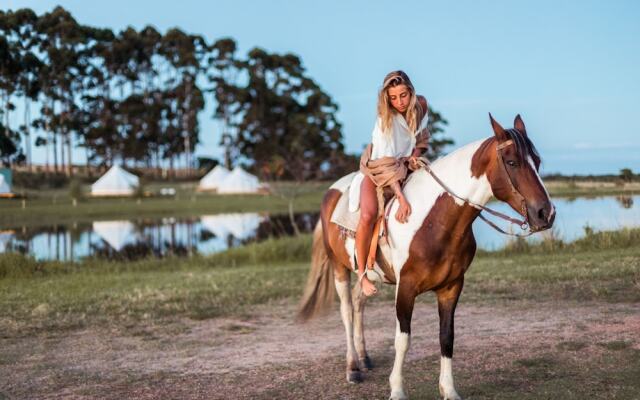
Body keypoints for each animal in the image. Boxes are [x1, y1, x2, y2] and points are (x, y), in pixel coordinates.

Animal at [300, 114, 556, 398]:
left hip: (368, 275)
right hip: (339, 268)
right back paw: (353, 367)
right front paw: (397, 390)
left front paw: (449, 390)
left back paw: (365, 358)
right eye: (512, 162)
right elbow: (402, 341)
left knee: (358, 301)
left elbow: (447, 338)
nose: (546, 213)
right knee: (346, 310)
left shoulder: (451, 287)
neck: (434, 220)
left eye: (538, 161)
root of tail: (331, 191)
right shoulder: (405, 288)